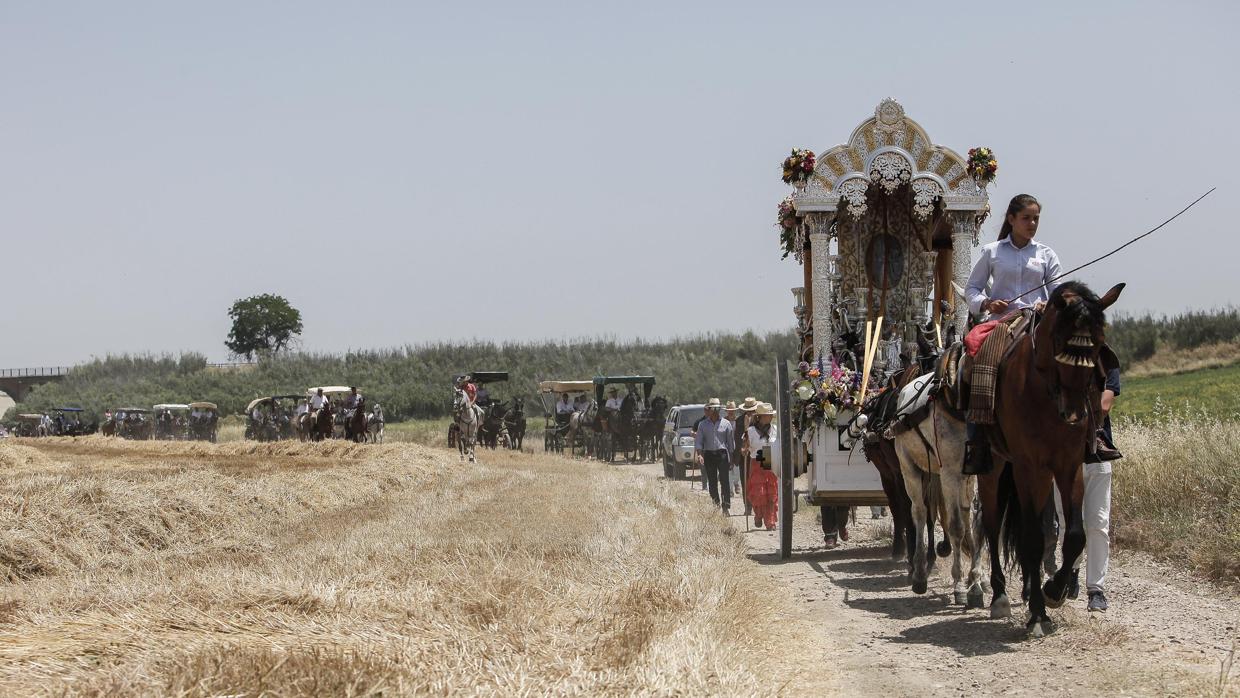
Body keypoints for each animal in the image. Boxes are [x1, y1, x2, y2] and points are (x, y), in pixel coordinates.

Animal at [977, 281, 1125, 634]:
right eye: (1059, 341)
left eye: (1098, 345)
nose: (1073, 414)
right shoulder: (1027, 465)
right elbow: (1031, 537)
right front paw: (1037, 615)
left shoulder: (1067, 465)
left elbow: (1074, 536)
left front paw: (1053, 591)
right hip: (995, 468)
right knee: (992, 525)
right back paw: (1000, 596)